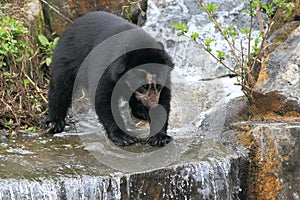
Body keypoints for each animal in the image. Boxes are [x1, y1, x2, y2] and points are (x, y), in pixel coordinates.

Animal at [44, 11, 173, 148]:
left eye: (158, 85)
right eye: (143, 86)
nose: (152, 104)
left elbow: (164, 100)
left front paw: (160, 137)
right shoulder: (105, 70)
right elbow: (103, 99)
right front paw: (124, 137)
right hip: (67, 59)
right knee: (60, 87)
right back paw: (54, 123)